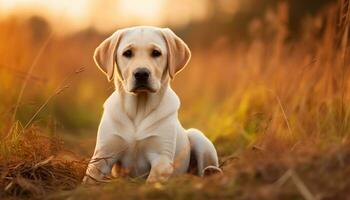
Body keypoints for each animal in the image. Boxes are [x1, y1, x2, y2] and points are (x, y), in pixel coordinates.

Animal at [83, 26, 220, 184]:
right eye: (127, 53)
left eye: (156, 53)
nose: (141, 73)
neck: (139, 109)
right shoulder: (102, 156)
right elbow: (89, 179)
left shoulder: (161, 159)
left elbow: (151, 182)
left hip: (197, 136)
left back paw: (211, 172)